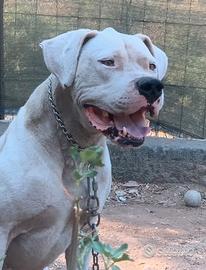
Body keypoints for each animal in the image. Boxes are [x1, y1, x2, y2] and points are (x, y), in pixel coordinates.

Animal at [0, 26, 167, 268]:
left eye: (152, 66)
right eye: (108, 62)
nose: (152, 85)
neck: (75, 147)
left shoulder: (84, 232)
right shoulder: (3, 230)